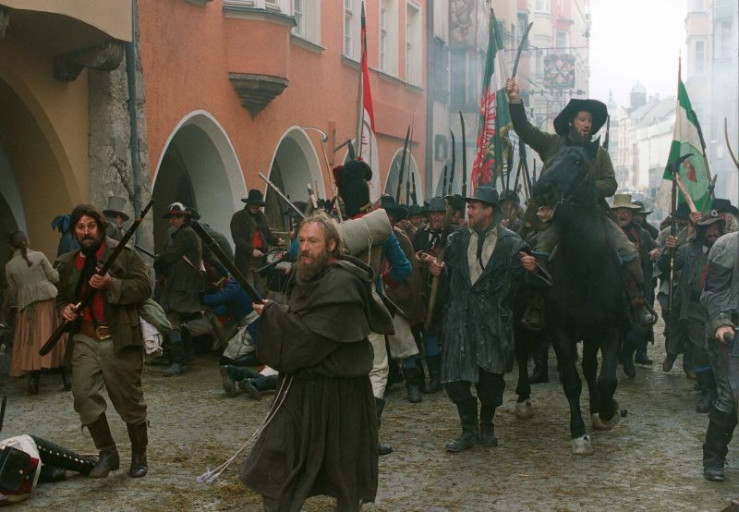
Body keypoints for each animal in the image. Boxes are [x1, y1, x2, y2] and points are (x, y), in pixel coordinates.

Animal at [531, 144, 625, 454]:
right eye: (548, 161)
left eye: (576, 162)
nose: (541, 189)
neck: (586, 268)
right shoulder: (560, 333)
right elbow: (571, 383)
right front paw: (579, 434)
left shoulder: (610, 328)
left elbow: (606, 378)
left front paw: (606, 411)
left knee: (591, 369)